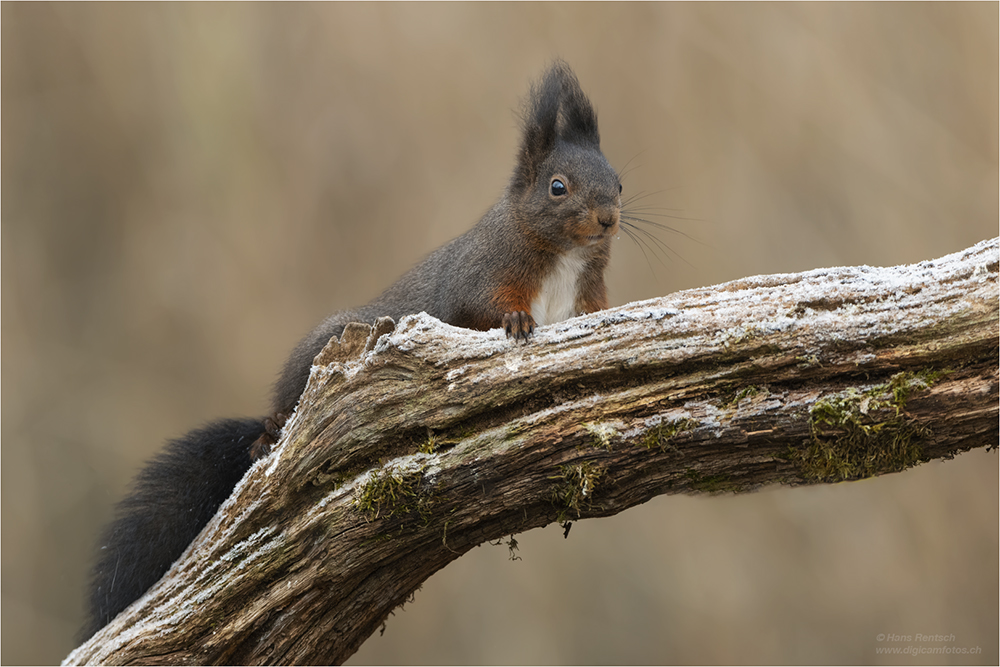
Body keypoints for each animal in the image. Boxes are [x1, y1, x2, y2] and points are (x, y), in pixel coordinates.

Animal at [82, 61, 620, 640]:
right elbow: (483, 308)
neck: (564, 258)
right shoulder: (479, 278)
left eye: (618, 181)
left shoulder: (587, 296)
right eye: (558, 187)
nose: (609, 218)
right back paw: (268, 434)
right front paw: (515, 320)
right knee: (280, 412)